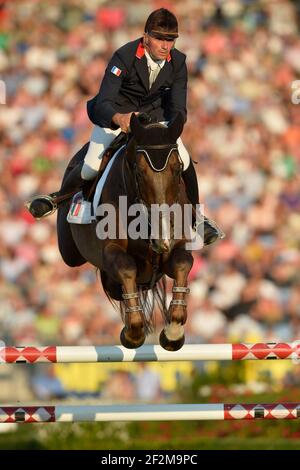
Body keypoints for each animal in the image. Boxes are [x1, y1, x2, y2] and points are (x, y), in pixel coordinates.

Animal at [57, 113, 193, 348]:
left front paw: (173, 331)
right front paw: (133, 333)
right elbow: (126, 267)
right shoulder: (112, 250)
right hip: (69, 252)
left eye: (177, 170)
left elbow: (183, 263)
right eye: (139, 171)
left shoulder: (175, 249)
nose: (161, 238)